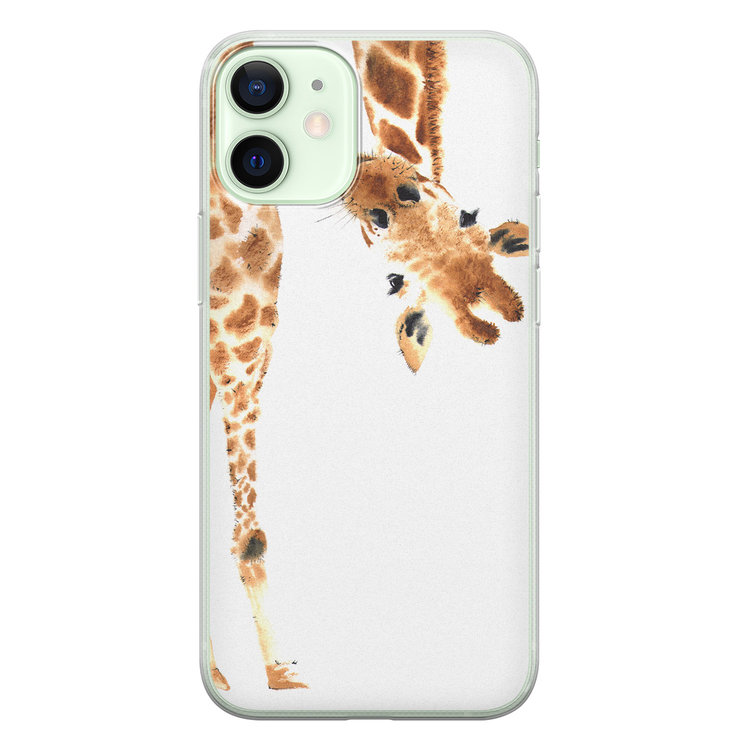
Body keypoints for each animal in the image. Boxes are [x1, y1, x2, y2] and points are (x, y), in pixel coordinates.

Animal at [207, 39, 529, 692]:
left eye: (468, 215)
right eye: (392, 274)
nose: (370, 181)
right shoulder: (238, 331)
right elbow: (249, 535)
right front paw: (277, 673)